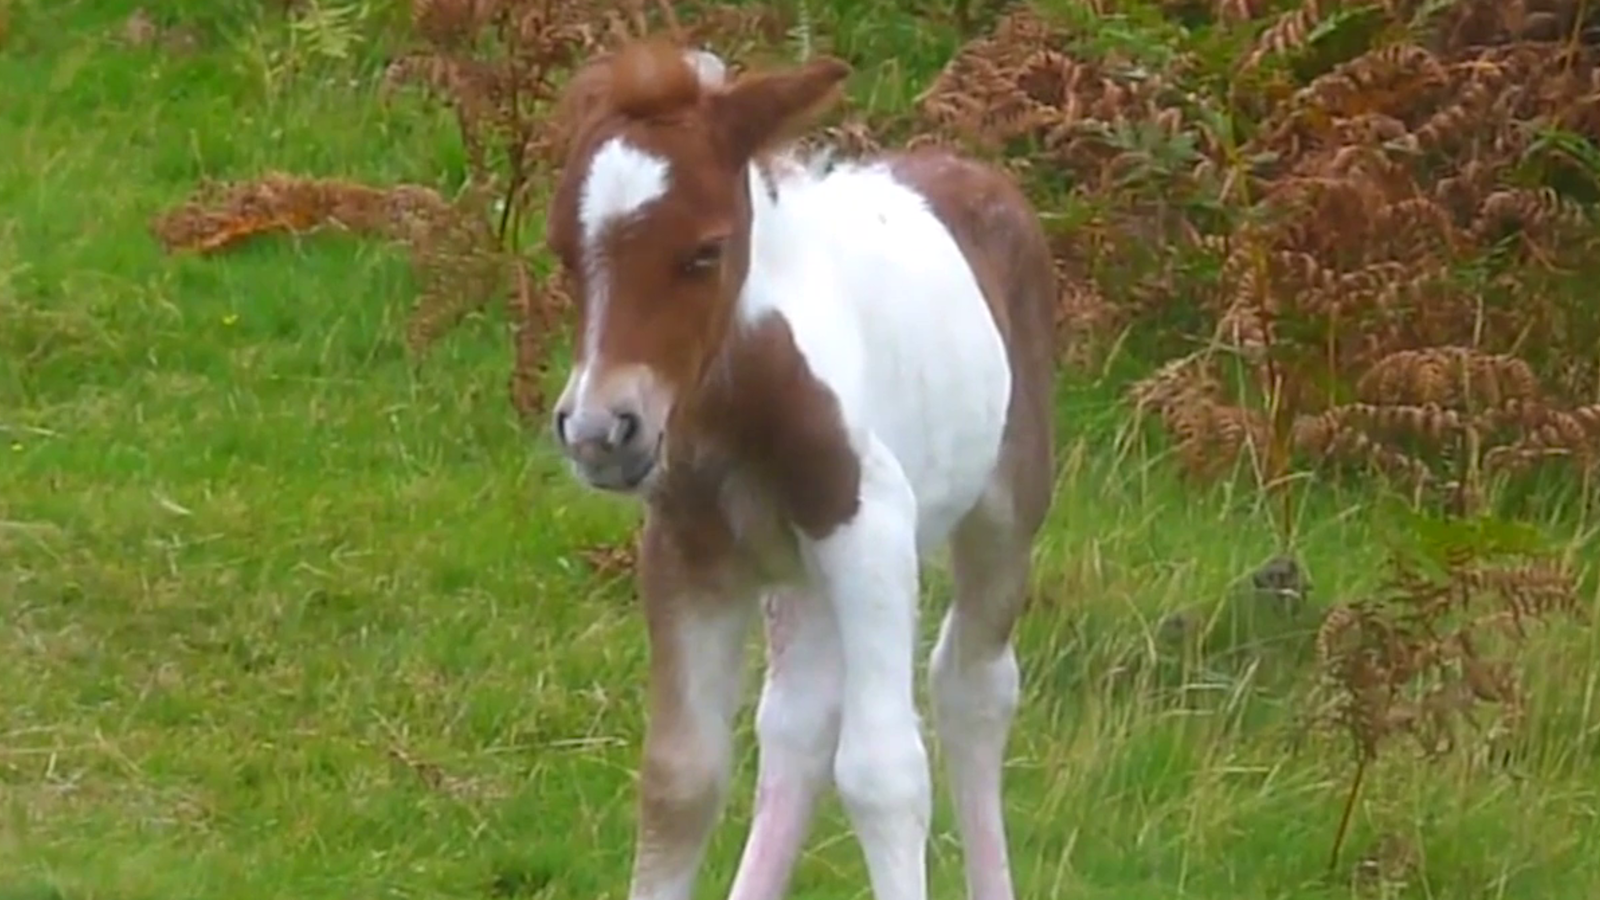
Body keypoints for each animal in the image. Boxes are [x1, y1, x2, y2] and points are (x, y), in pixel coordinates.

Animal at [543, 37, 1058, 900]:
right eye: (563, 255)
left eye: (705, 252)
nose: (601, 432)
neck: (741, 402)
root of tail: (976, 173)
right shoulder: (687, 553)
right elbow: (681, 778)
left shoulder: (869, 526)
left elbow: (885, 774)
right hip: (799, 574)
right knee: (799, 723)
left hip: (1003, 508)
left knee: (973, 687)